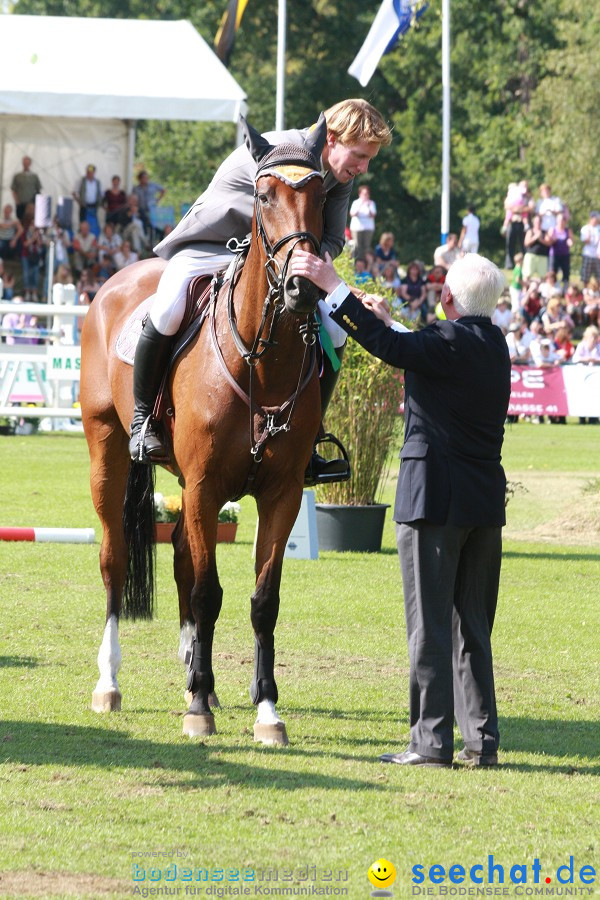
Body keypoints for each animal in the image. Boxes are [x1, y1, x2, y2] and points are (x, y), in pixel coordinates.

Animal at [81, 116, 328, 740]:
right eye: (263, 196)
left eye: (321, 196)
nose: (304, 288)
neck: (261, 360)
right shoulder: (203, 485)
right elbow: (207, 591)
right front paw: (196, 710)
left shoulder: (280, 493)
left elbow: (262, 598)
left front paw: (266, 711)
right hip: (108, 452)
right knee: (115, 560)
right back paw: (111, 683)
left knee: (180, 562)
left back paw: (203, 678)